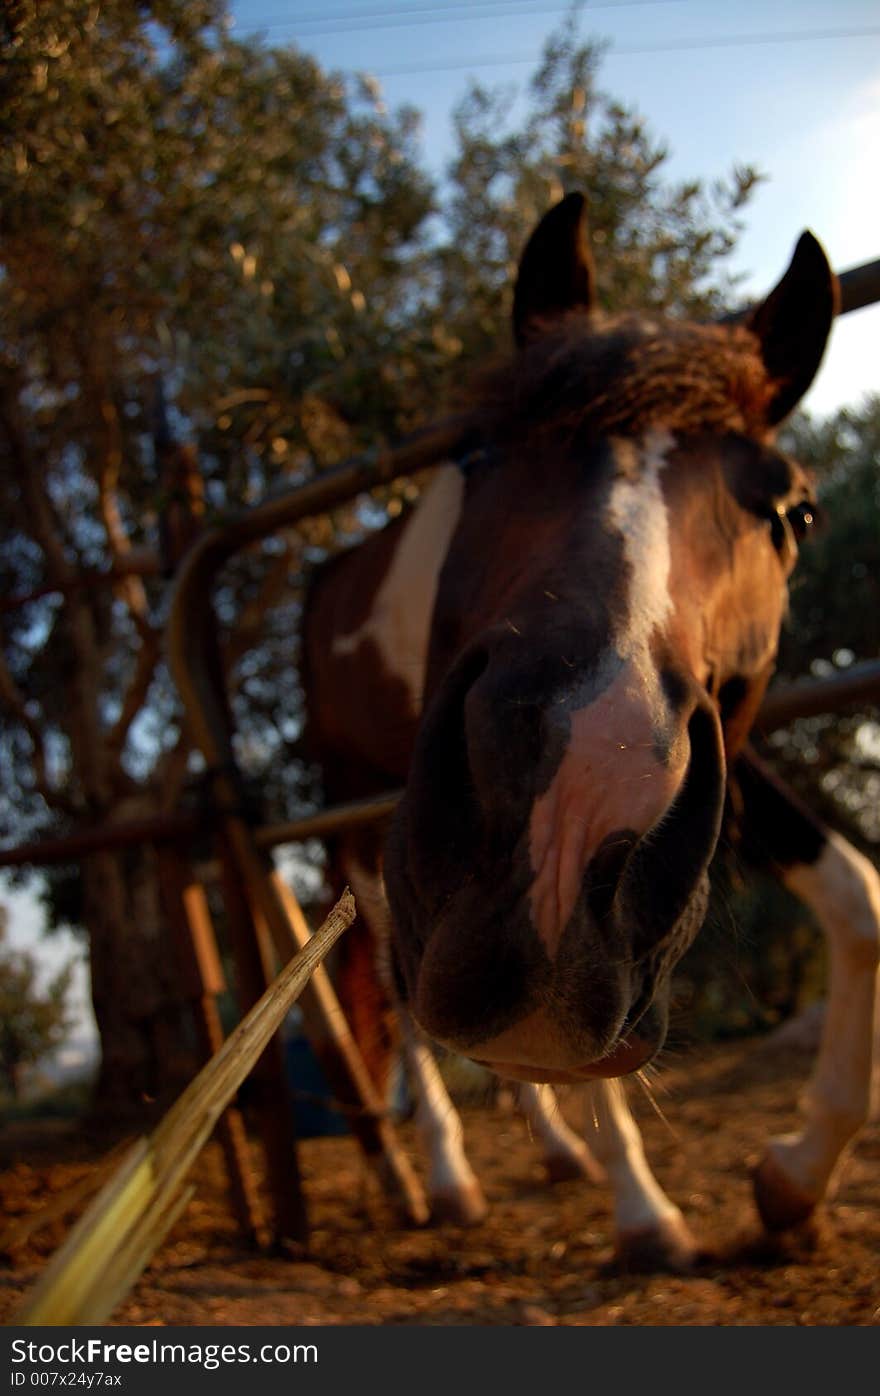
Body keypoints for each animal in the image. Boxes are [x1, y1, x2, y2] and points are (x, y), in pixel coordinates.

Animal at [300, 188, 877, 1267]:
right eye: (477, 456)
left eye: (796, 513)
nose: (572, 799)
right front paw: (644, 1210)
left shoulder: (726, 754)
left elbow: (857, 897)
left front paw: (794, 1174)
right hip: (354, 813)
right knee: (397, 991)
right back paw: (449, 1179)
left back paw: (557, 1151)